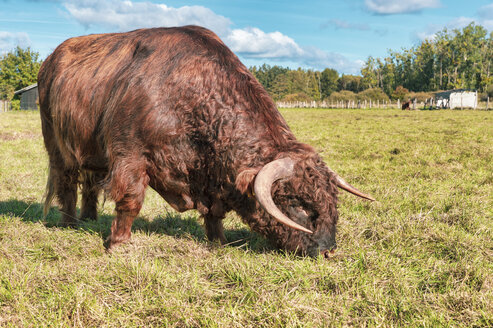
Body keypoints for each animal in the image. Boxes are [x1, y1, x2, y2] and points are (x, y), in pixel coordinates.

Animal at [37, 25, 372, 258]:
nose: (329, 250)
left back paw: (90, 217)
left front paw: (219, 242)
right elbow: (130, 201)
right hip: (57, 144)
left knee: (90, 184)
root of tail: (51, 58)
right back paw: (70, 222)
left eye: (332, 202)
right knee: (67, 182)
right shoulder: (129, 155)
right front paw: (118, 243)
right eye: (295, 203)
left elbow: (214, 213)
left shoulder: (212, 178)